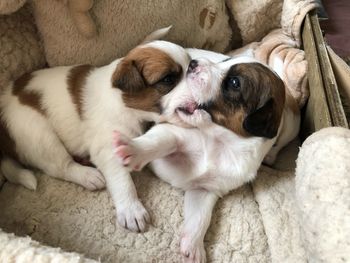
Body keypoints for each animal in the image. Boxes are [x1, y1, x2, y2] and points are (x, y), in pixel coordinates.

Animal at [0, 31, 190, 233]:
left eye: (191, 66)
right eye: (168, 79)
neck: (125, 103)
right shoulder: (108, 149)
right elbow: (123, 181)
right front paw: (131, 209)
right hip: (40, 136)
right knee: (61, 167)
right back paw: (88, 176)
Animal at [113, 52, 300, 262]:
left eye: (234, 82)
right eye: (225, 60)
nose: (193, 64)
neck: (220, 144)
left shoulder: (205, 190)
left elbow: (200, 218)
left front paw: (193, 246)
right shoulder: (174, 133)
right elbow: (157, 142)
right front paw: (133, 150)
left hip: (291, 125)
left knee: (280, 142)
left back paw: (271, 156)